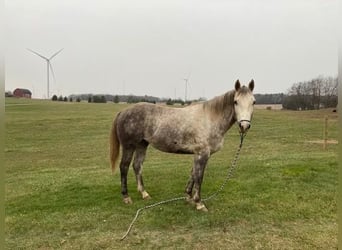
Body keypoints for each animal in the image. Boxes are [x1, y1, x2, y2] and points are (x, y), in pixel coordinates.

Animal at [109, 79, 254, 211]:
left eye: (253, 102)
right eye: (236, 102)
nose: (244, 126)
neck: (210, 119)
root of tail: (123, 112)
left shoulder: (198, 154)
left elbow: (193, 174)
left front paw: (189, 197)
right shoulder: (202, 154)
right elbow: (199, 177)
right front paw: (199, 203)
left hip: (142, 145)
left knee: (137, 166)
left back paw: (144, 194)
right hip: (129, 146)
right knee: (124, 167)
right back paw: (126, 197)